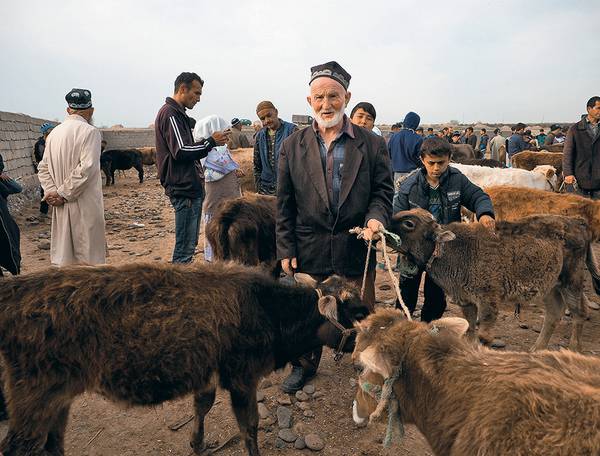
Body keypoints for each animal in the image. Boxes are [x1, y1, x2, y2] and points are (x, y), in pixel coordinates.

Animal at [0, 260, 370, 456]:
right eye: (357, 311)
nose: (369, 353)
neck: (266, 310)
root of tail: (15, 292)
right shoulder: (242, 377)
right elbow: (249, 425)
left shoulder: (207, 371)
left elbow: (202, 405)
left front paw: (198, 442)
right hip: (34, 396)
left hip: (57, 399)